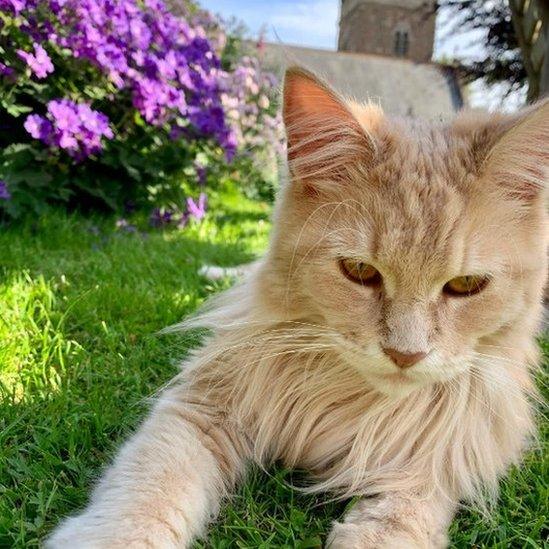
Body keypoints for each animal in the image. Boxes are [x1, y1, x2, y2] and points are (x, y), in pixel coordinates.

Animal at [48, 66, 548, 544]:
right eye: (359, 271)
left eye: (465, 284)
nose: (405, 355)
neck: (349, 401)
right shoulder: (203, 407)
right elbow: (150, 487)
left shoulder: (430, 465)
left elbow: (391, 527)